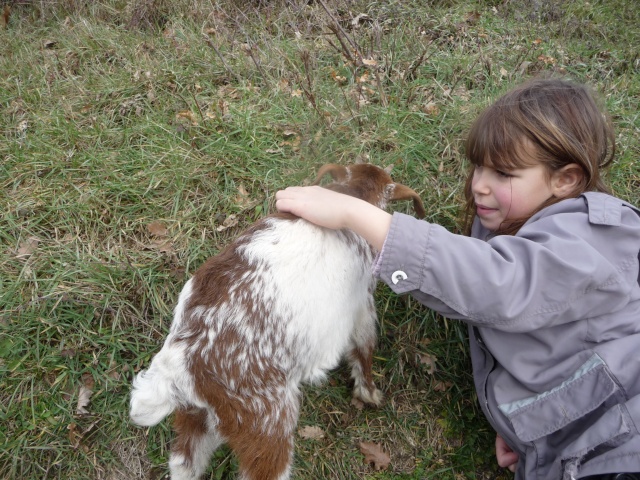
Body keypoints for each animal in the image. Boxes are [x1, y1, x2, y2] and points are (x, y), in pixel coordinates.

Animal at [129, 162, 424, 480]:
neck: (352, 193)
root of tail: (181, 366)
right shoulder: (362, 305)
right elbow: (364, 349)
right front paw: (370, 395)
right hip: (266, 424)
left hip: (197, 418)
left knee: (184, 462)